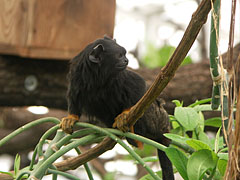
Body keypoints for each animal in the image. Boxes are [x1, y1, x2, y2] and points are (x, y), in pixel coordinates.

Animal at [61, 35, 174, 179]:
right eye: (119, 55)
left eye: (124, 54)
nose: (126, 60)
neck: (97, 77)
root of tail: (165, 127)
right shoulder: (77, 77)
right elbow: (73, 97)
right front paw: (71, 117)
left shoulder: (121, 76)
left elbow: (139, 85)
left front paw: (125, 114)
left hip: (156, 117)